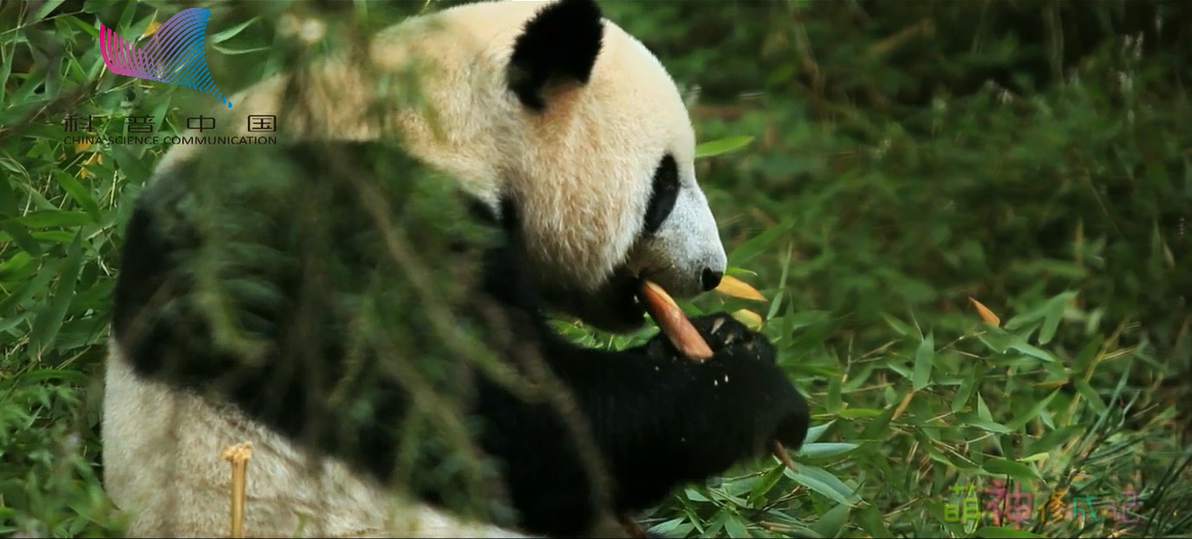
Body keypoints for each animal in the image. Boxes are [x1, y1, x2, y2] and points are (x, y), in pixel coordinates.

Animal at [102, 0, 815, 536]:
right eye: (664, 185)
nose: (712, 271)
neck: (442, 127)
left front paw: (724, 335)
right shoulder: (363, 240)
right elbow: (518, 427)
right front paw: (756, 389)